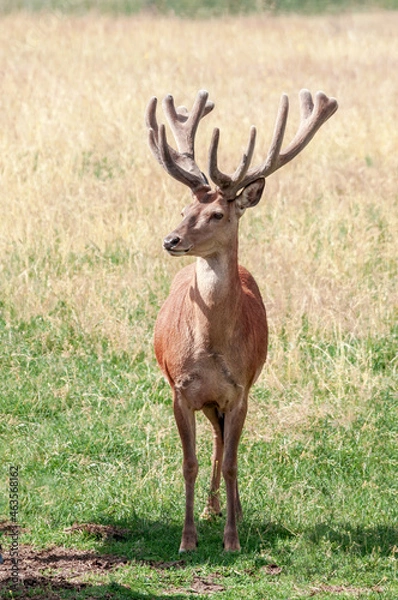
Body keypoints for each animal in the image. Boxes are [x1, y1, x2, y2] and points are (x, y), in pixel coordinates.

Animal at [145, 89, 338, 552]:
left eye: (217, 214)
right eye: (184, 207)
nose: (171, 239)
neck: (210, 348)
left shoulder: (240, 391)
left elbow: (232, 461)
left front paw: (232, 539)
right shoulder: (180, 390)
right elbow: (190, 462)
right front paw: (187, 539)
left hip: (233, 395)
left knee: (224, 446)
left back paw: (231, 509)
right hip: (207, 400)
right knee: (214, 442)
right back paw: (212, 508)